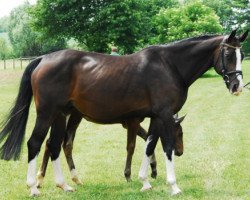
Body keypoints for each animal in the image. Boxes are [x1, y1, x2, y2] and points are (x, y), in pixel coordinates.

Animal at [0, 29, 247, 195]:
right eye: (228, 55)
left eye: (241, 56)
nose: (237, 86)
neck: (170, 65)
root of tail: (43, 59)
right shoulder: (165, 115)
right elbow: (164, 146)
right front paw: (173, 186)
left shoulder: (155, 117)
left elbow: (149, 145)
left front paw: (145, 181)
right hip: (47, 114)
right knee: (35, 143)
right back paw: (34, 187)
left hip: (61, 115)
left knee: (54, 145)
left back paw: (65, 185)